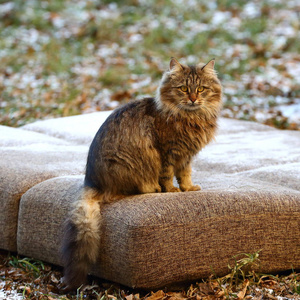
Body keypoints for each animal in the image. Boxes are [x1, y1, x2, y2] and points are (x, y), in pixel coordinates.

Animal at [61, 56, 221, 290]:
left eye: (200, 89)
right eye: (183, 89)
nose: (193, 99)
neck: (191, 117)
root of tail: (91, 181)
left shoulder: (185, 156)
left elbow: (185, 174)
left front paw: (188, 188)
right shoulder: (168, 152)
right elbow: (168, 175)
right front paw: (172, 190)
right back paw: (153, 189)